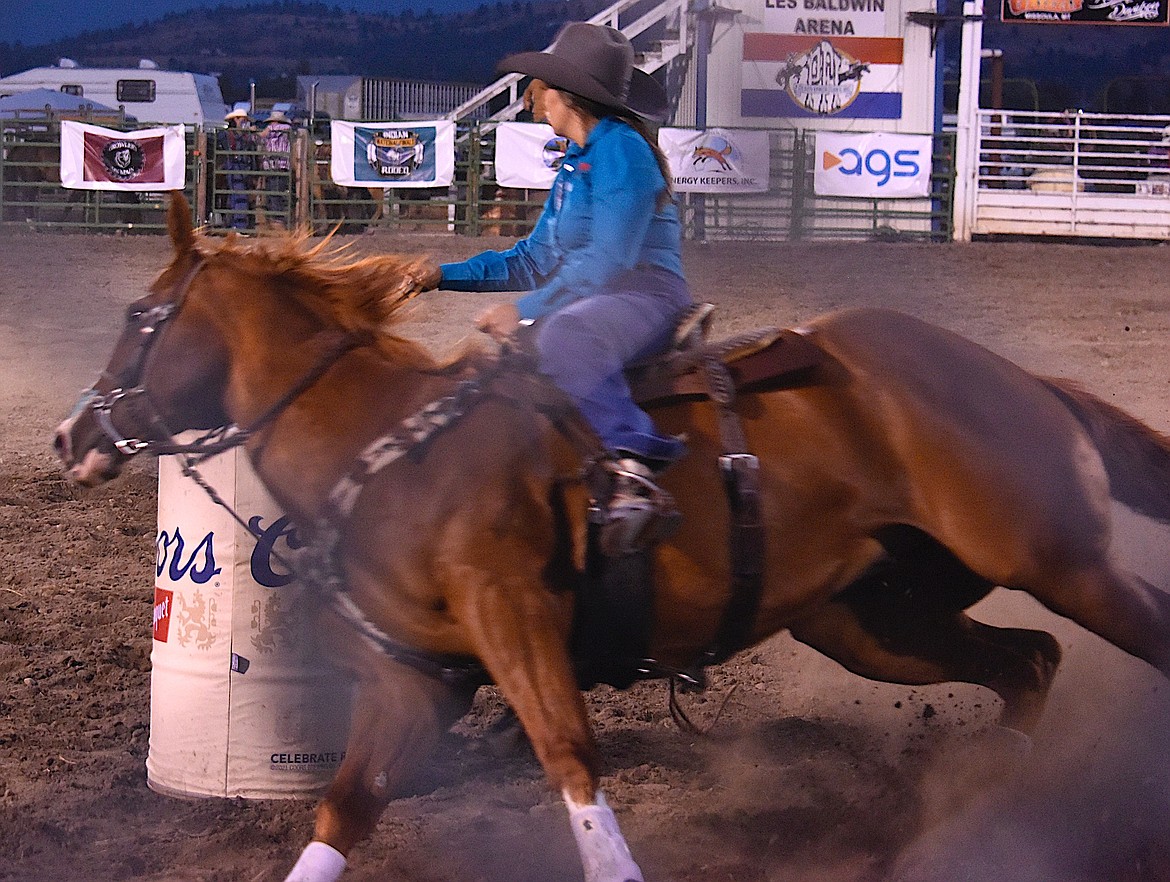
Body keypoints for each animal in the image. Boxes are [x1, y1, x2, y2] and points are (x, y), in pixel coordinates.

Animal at [57, 194, 1170, 879]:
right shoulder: (420, 681)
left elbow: (569, 760)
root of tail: (1012, 374)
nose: (72, 435)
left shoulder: (516, 622)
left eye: (141, 314)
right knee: (1029, 660)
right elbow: (344, 810)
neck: (387, 441)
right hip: (875, 620)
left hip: (1057, 559)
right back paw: (984, 806)